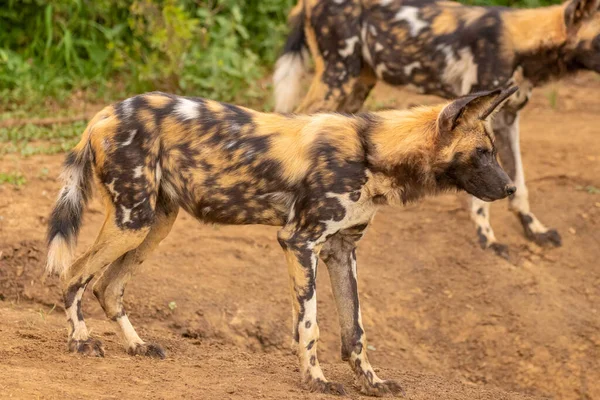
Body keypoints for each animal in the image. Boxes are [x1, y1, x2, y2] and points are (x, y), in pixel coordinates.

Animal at [45, 87, 516, 396]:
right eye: (482, 153)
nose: (511, 188)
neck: (372, 150)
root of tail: (105, 113)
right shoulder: (300, 242)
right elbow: (310, 324)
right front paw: (317, 381)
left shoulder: (342, 251)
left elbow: (356, 331)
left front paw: (371, 382)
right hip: (133, 221)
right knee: (74, 275)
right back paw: (81, 341)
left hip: (155, 224)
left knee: (108, 287)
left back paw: (137, 345)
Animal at [276, 0, 600, 258]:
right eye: (599, 40)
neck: (521, 45)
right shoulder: (478, 119)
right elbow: (481, 198)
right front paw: (488, 239)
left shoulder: (509, 120)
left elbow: (519, 183)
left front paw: (534, 230)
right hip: (337, 78)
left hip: (357, 85)